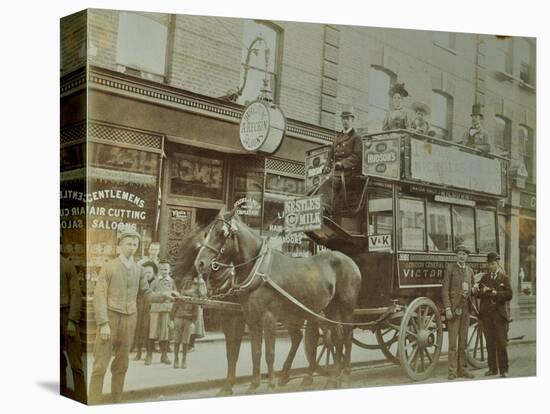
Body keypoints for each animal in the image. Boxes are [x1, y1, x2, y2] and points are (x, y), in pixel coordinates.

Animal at [194, 207, 362, 392]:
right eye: (207, 232)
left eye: (221, 233)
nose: (200, 263)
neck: (259, 269)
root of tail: (350, 260)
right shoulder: (251, 317)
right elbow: (255, 351)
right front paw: (254, 384)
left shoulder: (268, 317)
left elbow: (269, 352)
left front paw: (270, 384)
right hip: (327, 308)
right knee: (335, 337)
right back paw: (332, 377)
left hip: (345, 307)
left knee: (346, 336)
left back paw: (344, 375)